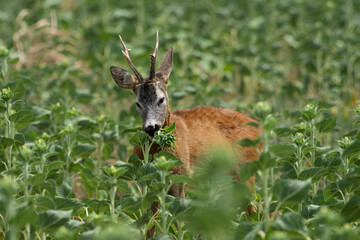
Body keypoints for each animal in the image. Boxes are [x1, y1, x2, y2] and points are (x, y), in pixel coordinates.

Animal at [109, 32, 262, 236]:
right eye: (137, 103)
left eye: (161, 99)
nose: (151, 128)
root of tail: (258, 127)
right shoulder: (148, 182)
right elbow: (151, 224)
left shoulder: (182, 176)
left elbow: (176, 222)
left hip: (246, 170)